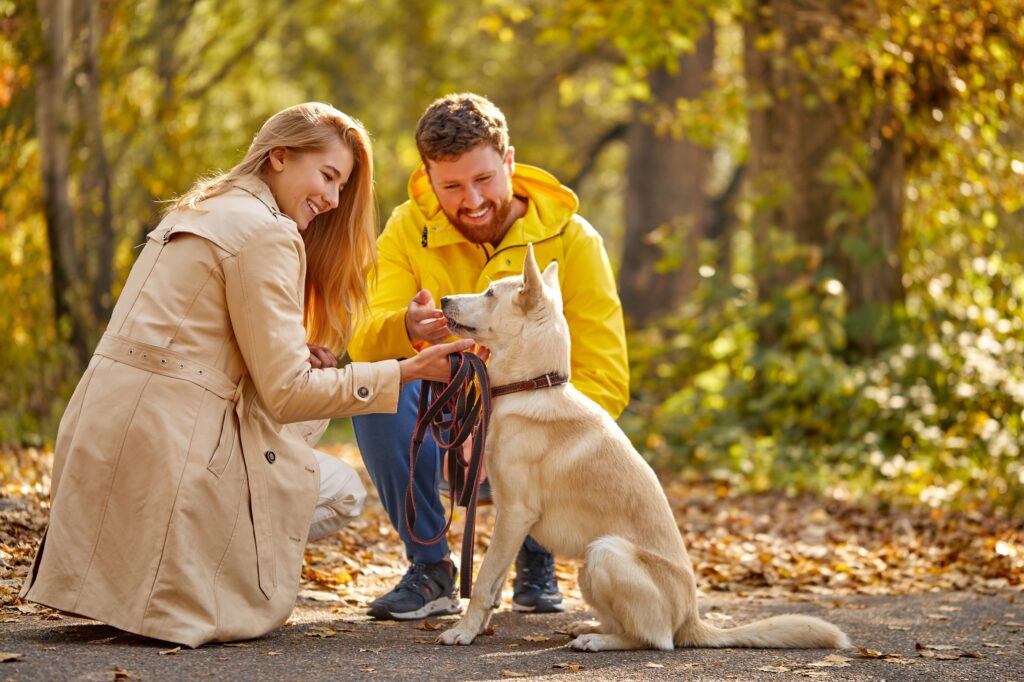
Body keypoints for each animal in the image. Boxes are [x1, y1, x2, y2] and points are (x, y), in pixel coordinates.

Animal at [438, 241, 847, 651]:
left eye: (490, 293)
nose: (442, 299)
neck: (534, 386)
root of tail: (691, 621)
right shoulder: (510, 517)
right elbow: (494, 584)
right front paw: (478, 627)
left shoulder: (514, 514)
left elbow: (483, 580)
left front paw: (463, 631)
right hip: (588, 567)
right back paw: (589, 627)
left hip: (605, 552)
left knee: (654, 639)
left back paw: (599, 640)